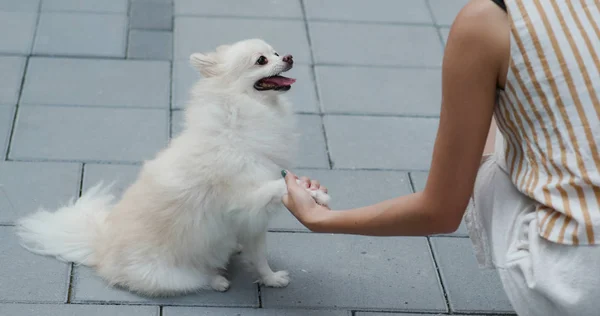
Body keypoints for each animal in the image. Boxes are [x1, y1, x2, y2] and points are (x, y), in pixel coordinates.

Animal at [16, 39, 330, 296]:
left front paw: (271, 279)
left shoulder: (253, 220)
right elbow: (277, 187)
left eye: (276, 52)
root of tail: (100, 248)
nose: (288, 56)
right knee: (195, 280)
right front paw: (313, 193)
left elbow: (260, 257)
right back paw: (216, 279)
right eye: (261, 60)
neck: (241, 116)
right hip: (173, 276)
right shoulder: (245, 200)